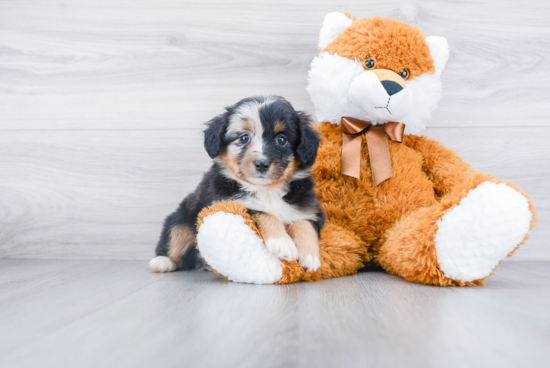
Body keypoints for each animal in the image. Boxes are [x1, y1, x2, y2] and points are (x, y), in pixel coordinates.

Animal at [149, 95, 326, 274]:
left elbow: (303, 223)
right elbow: (263, 213)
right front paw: (282, 242)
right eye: (244, 138)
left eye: (281, 139)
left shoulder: (310, 208)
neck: (266, 190)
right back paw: (162, 262)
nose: (262, 164)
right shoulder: (227, 203)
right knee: (174, 246)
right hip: (179, 220)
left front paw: (310, 256)